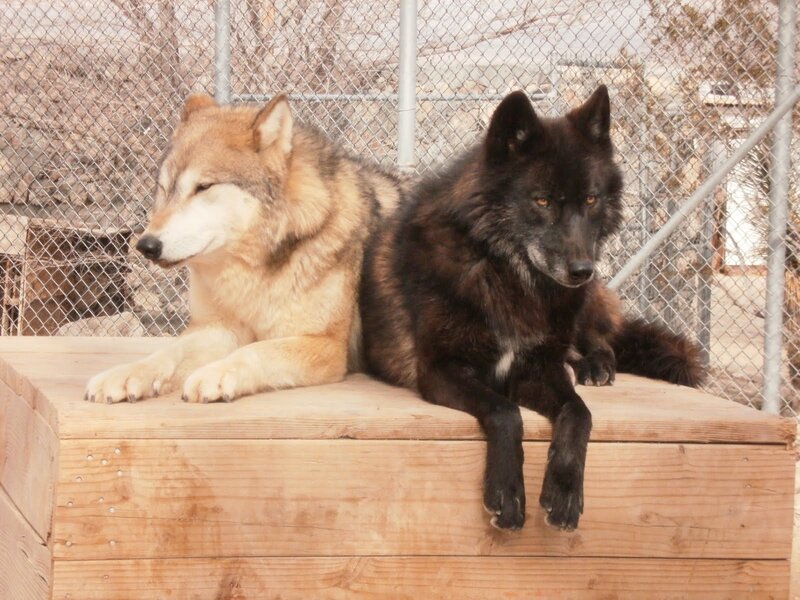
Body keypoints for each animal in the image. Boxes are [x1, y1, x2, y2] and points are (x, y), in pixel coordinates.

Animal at [86, 93, 402, 404]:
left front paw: (215, 374)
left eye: (204, 187)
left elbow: (255, 351)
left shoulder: (326, 346)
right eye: (164, 189)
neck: (252, 270)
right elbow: (166, 353)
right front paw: (125, 373)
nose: (146, 245)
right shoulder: (217, 328)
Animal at [360, 86, 704, 532]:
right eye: (542, 201)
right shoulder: (442, 369)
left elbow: (579, 412)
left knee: (601, 340)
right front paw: (507, 492)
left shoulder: (538, 369)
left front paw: (565, 490)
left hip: (585, 307)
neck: (509, 278)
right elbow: (506, 411)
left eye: (590, 199)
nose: (582, 270)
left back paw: (595, 365)